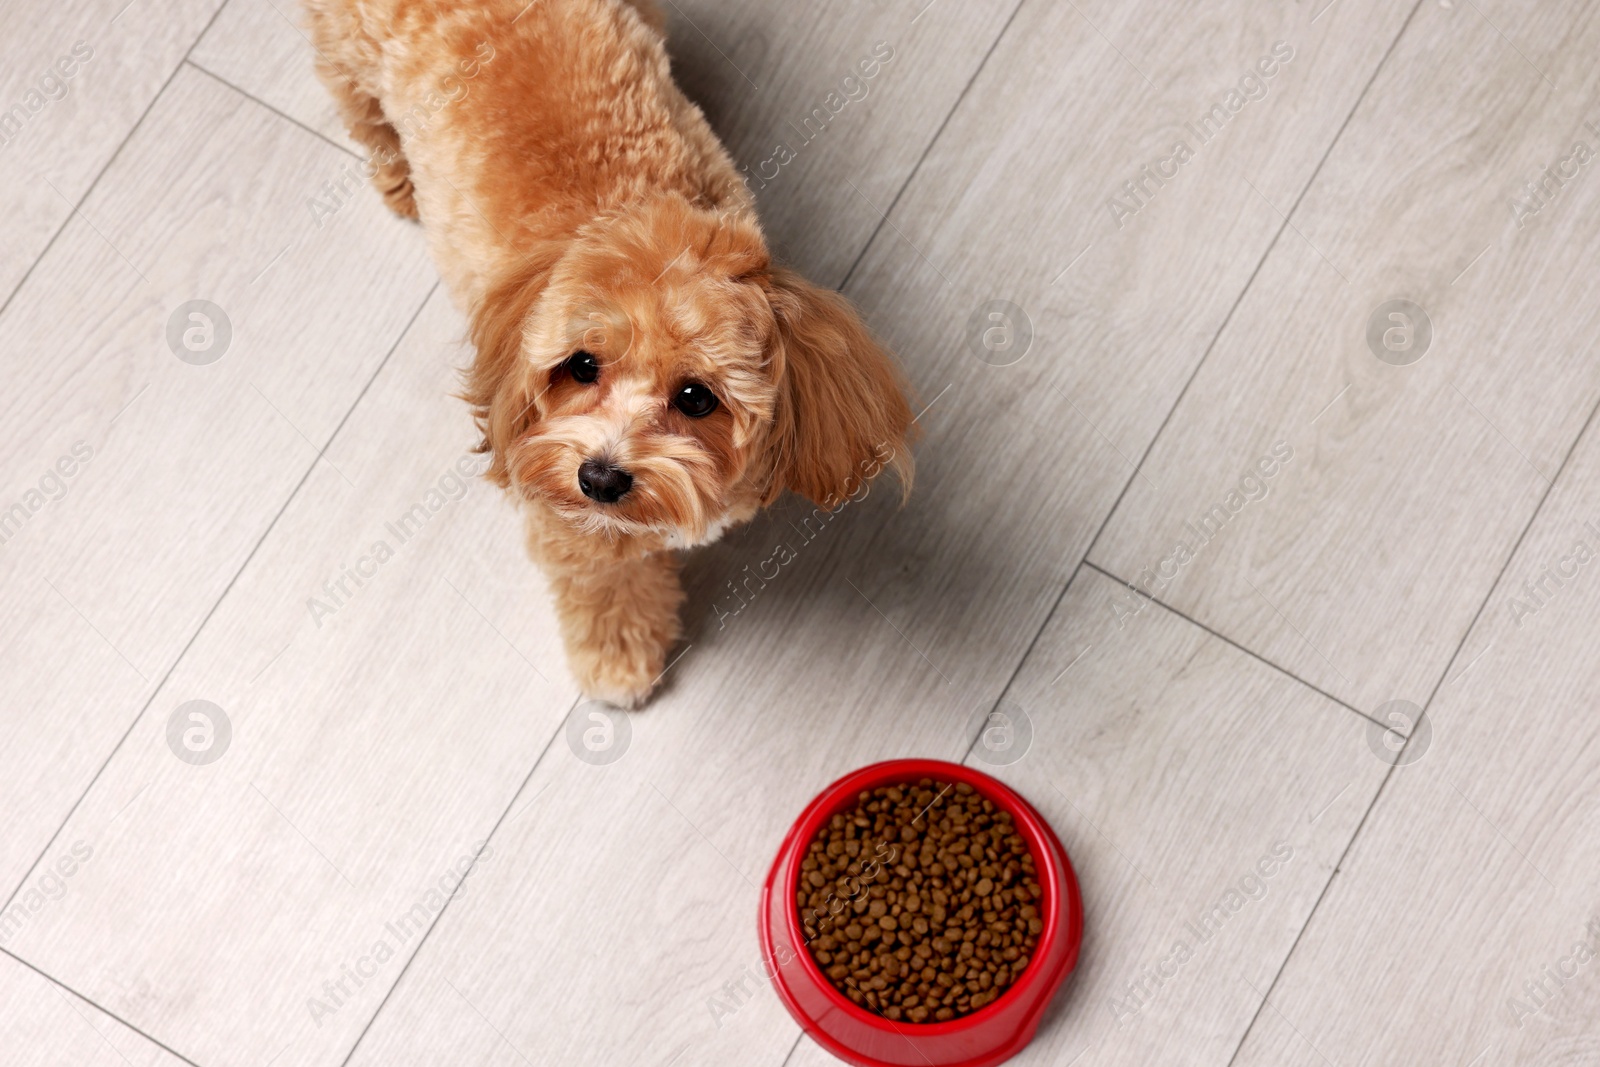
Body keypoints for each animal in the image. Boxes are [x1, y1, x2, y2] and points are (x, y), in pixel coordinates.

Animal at [305, 0, 921, 703]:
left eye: (696, 398)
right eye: (581, 366)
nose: (600, 477)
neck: (630, 204)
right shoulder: (568, 515)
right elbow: (604, 584)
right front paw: (618, 656)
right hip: (348, 50)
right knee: (359, 105)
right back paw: (397, 175)